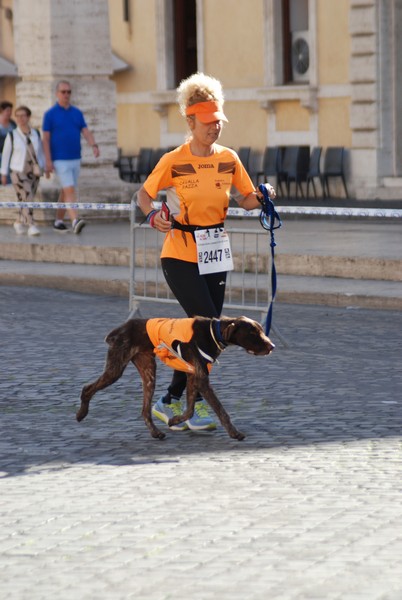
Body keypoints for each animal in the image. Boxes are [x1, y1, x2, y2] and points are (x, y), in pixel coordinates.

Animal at [77, 314, 274, 440]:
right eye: (252, 333)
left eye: (261, 330)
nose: (272, 346)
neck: (213, 333)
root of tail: (120, 328)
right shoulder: (201, 379)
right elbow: (221, 410)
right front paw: (234, 433)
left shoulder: (193, 377)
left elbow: (190, 410)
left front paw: (175, 420)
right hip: (116, 369)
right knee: (87, 388)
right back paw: (81, 413)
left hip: (149, 373)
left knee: (145, 410)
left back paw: (155, 433)